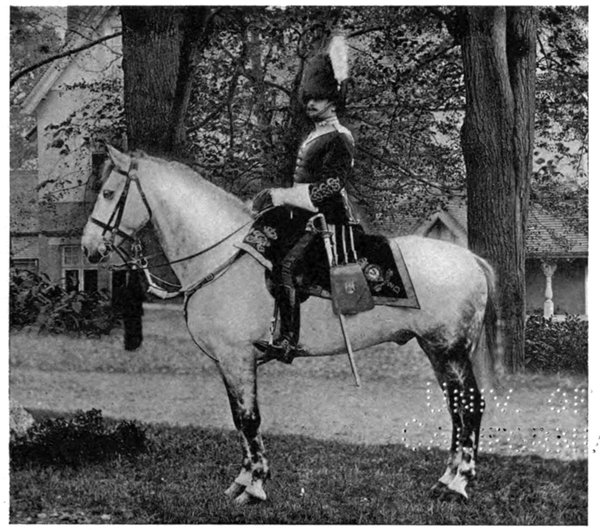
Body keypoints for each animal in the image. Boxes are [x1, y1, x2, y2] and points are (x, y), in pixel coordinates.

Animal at [81, 146, 501, 505]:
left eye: (108, 192)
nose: (89, 247)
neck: (223, 256)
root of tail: (471, 260)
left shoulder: (237, 357)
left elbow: (249, 419)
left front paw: (255, 486)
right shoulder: (229, 362)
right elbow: (239, 419)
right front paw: (243, 480)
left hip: (448, 350)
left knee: (470, 405)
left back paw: (459, 484)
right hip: (436, 350)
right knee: (456, 406)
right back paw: (446, 480)